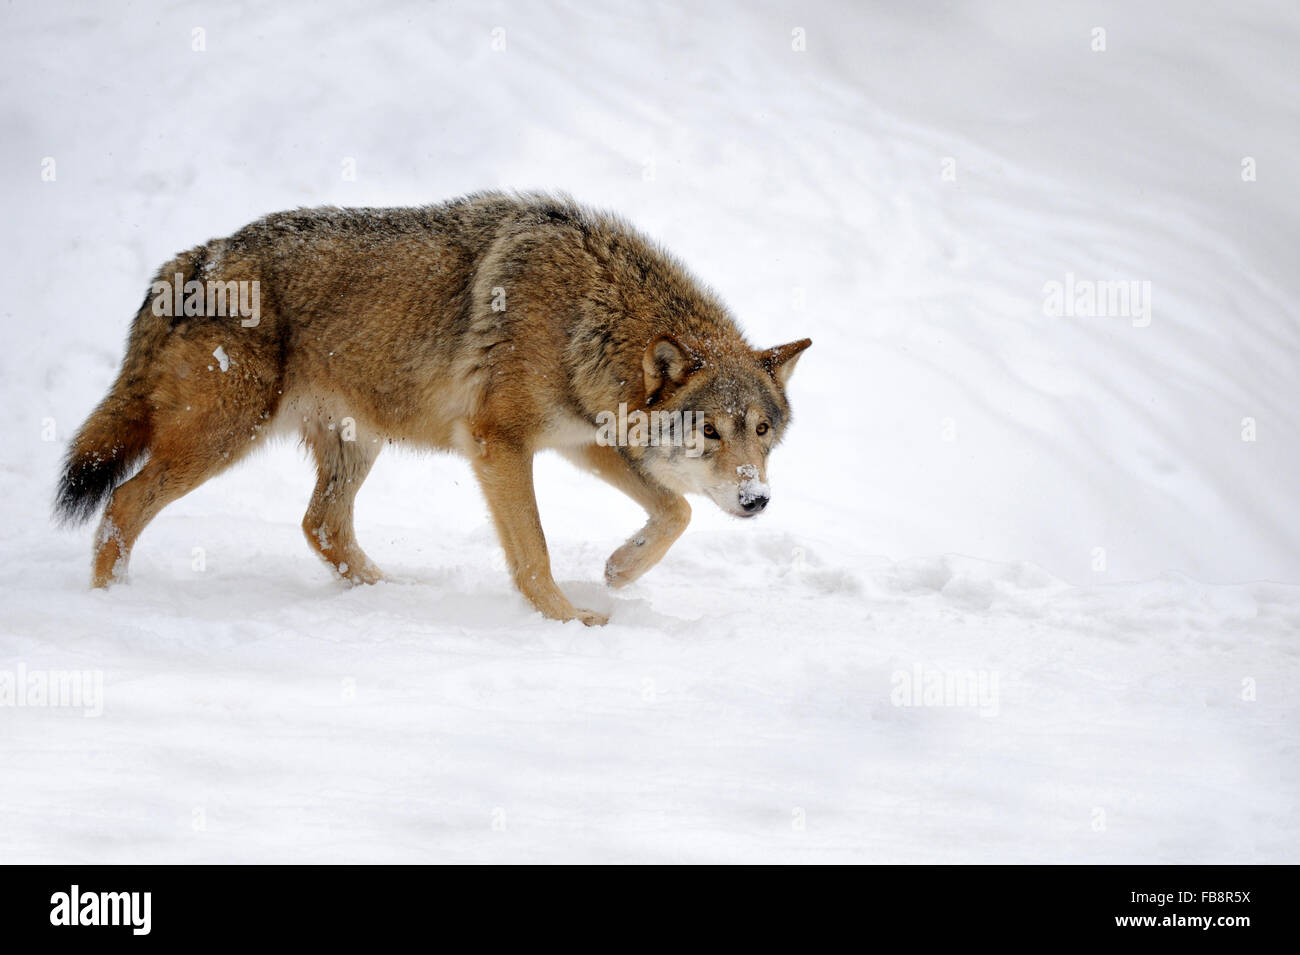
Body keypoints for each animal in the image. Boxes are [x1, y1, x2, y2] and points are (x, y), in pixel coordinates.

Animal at [61, 194, 816, 628]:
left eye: (762, 431)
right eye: (709, 430)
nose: (756, 499)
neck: (591, 317)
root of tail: (197, 256)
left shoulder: (582, 439)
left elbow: (675, 509)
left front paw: (618, 571)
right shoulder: (498, 443)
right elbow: (535, 554)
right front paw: (569, 621)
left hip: (352, 444)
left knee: (321, 526)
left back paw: (391, 595)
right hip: (222, 439)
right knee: (123, 503)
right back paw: (110, 604)